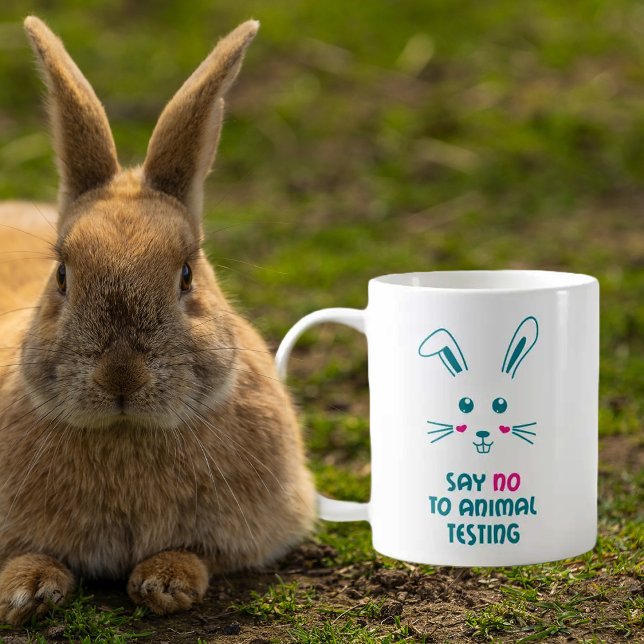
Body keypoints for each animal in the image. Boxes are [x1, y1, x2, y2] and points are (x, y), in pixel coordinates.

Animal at [0, 16, 316, 626]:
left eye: (187, 275)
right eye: (62, 276)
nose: (121, 376)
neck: (126, 432)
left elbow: (199, 554)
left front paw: (165, 581)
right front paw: (25, 591)